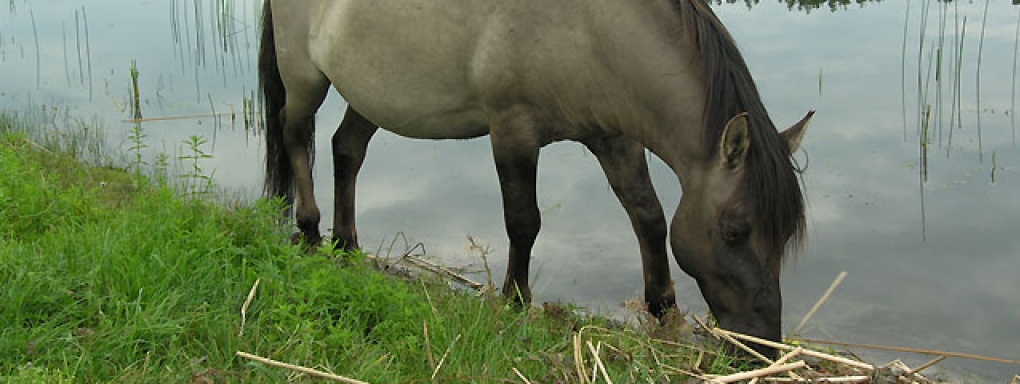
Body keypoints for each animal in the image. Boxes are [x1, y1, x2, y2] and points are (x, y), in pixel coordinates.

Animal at [261, 0, 811, 357]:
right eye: (734, 232)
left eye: (785, 235)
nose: (764, 345)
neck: (591, 29)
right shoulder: (513, 132)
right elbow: (524, 222)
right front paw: (515, 300)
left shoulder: (615, 139)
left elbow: (648, 217)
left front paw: (663, 309)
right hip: (305, 77)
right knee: (296, 136)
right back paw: (309, 231)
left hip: (372, 93)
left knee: (346, 150)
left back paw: (347, 245)